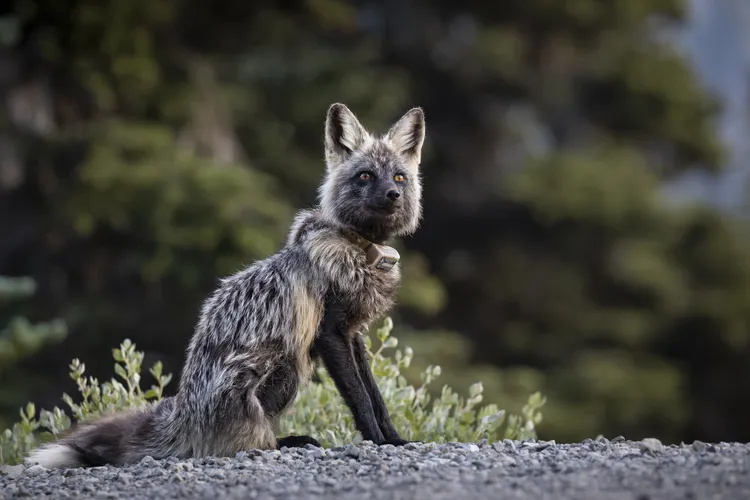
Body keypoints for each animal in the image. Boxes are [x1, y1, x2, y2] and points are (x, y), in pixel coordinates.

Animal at [25, 102, 427, 468]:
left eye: (398, 178)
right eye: (365, 176)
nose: (392, 195)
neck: (358, 249)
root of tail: (183, 412)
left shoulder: (354, 333)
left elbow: (376, 396)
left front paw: (395, 438)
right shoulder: (330, 332)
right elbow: (361, 399)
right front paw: (378, 441)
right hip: (287, 365)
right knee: (238, 445)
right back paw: (285, 443)